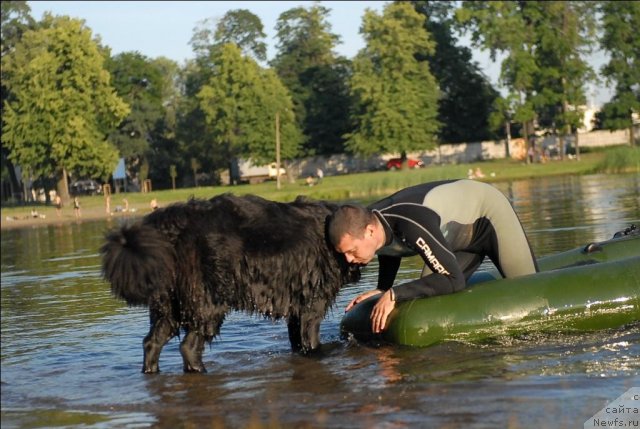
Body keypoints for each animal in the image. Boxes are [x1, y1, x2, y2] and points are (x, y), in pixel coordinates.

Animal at [100, 192, 360, 372]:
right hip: (207, 301)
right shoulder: (312, 304)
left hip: (169, 304)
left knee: (152, 342)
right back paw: (200, 370)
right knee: (189, 346)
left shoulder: (296, 306)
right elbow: (310, 340)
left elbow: (297, 340)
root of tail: (171, 225)